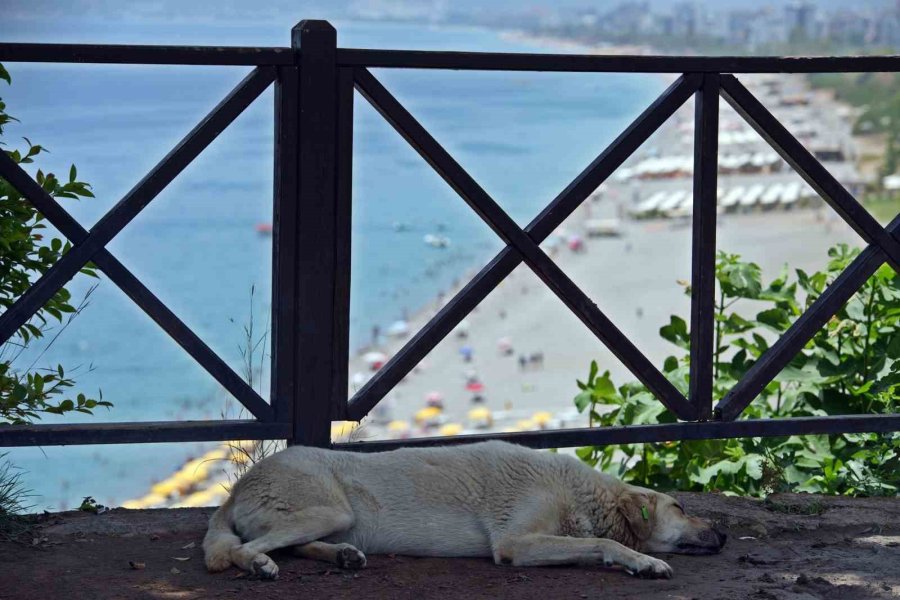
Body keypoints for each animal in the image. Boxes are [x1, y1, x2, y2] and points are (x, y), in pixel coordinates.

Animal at [204, 438, 724, 580]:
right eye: (680, 505)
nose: (722, 535)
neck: (577, 492)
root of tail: (236, 490)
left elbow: (595, 541)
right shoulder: (517, 543)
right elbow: (601, 543)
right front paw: (643, 561)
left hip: (332, 520)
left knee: (295, 546)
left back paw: (344, 557)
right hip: (328, 511)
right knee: (243, 549)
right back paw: (259, 564)